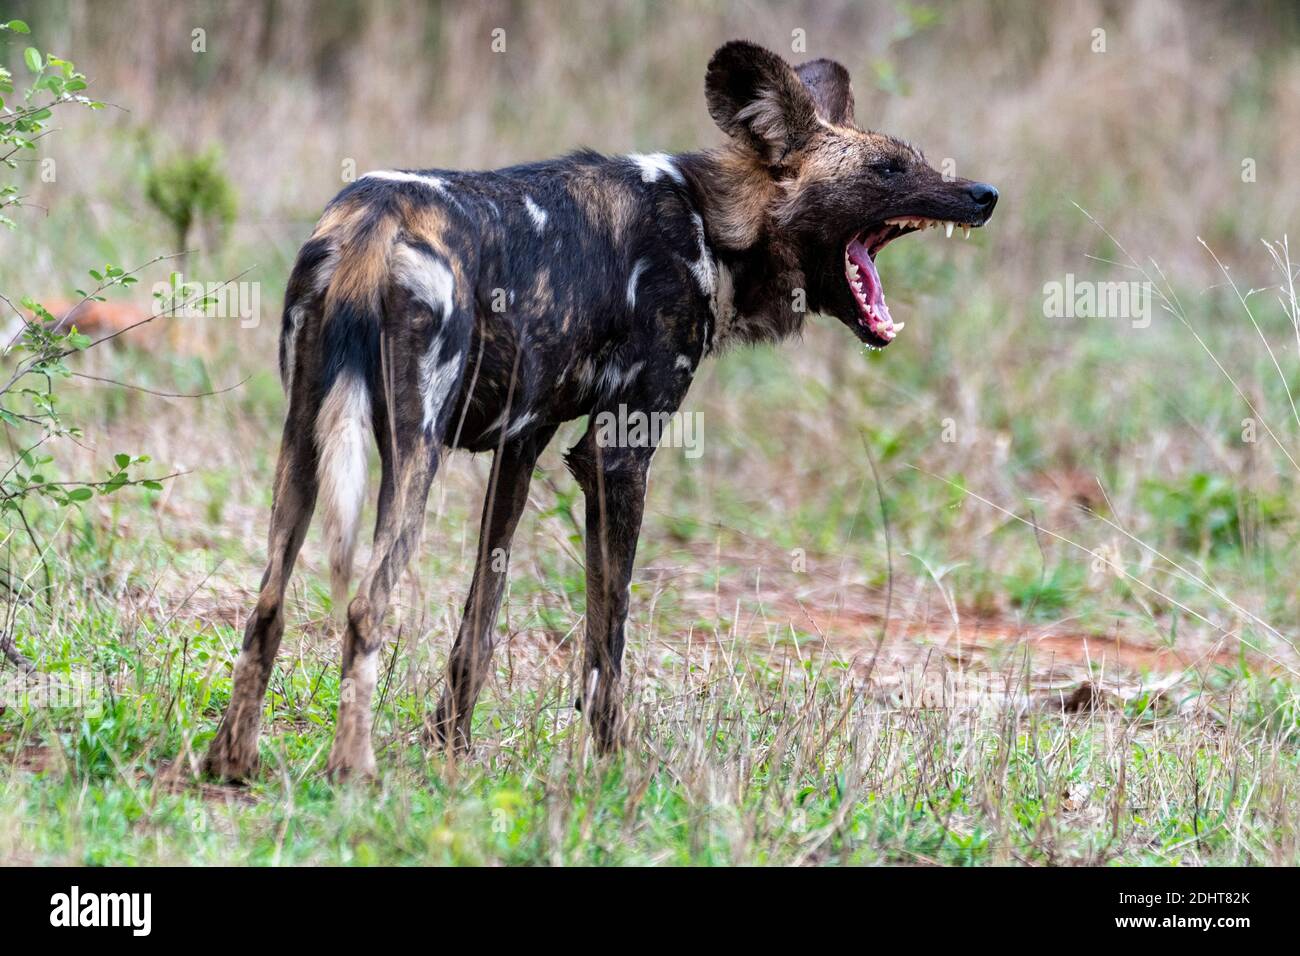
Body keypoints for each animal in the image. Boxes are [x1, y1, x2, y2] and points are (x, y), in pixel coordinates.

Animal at [202, 41, 998, 780]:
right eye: (887, 170)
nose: (984, 193)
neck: (711, 228)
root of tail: (370, 217)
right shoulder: (617, 455)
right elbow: (607, 637)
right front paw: (616, 762)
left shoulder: (521, 448)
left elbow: (479, 625)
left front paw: (451, 748)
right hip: (412, 453)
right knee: (366, 604)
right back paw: (353, 771)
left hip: (303, 445)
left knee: (267, 604)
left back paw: (231, 762)